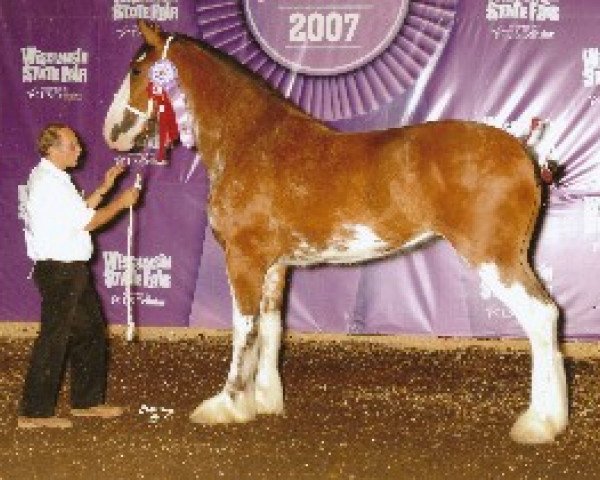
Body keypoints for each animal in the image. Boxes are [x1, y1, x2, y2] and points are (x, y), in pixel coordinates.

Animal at [103, 19, 568, 446]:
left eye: (137, 70)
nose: (112, 132)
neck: (251, 141)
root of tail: (524, 152)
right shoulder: (275, 266)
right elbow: (271, 326)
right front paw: (265, 400)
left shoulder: (243, 259)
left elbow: (243, 328)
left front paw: (226, 404)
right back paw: (552, 419)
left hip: (494, 258)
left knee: (541, 317)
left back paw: (537, 423)